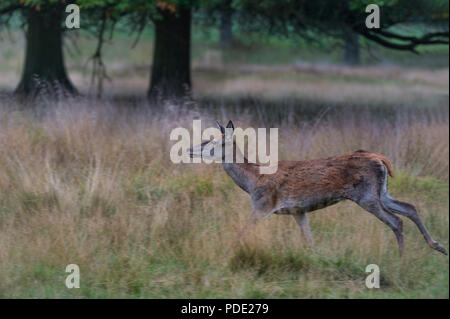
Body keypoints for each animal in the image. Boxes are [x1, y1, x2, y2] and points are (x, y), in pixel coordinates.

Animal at [188, 120, 448, 258]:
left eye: (212, 142)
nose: (190, 149)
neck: (253, 181)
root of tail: (381, 159)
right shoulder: (298, 211)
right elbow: (309, 239)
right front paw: (317, 259)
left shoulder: (263, 204)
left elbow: (241, 233)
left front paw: (224, 255)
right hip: (381, 192)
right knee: (410, 207)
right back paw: (438, 246)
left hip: (366, 195)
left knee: (396, 220)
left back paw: (402, 258)